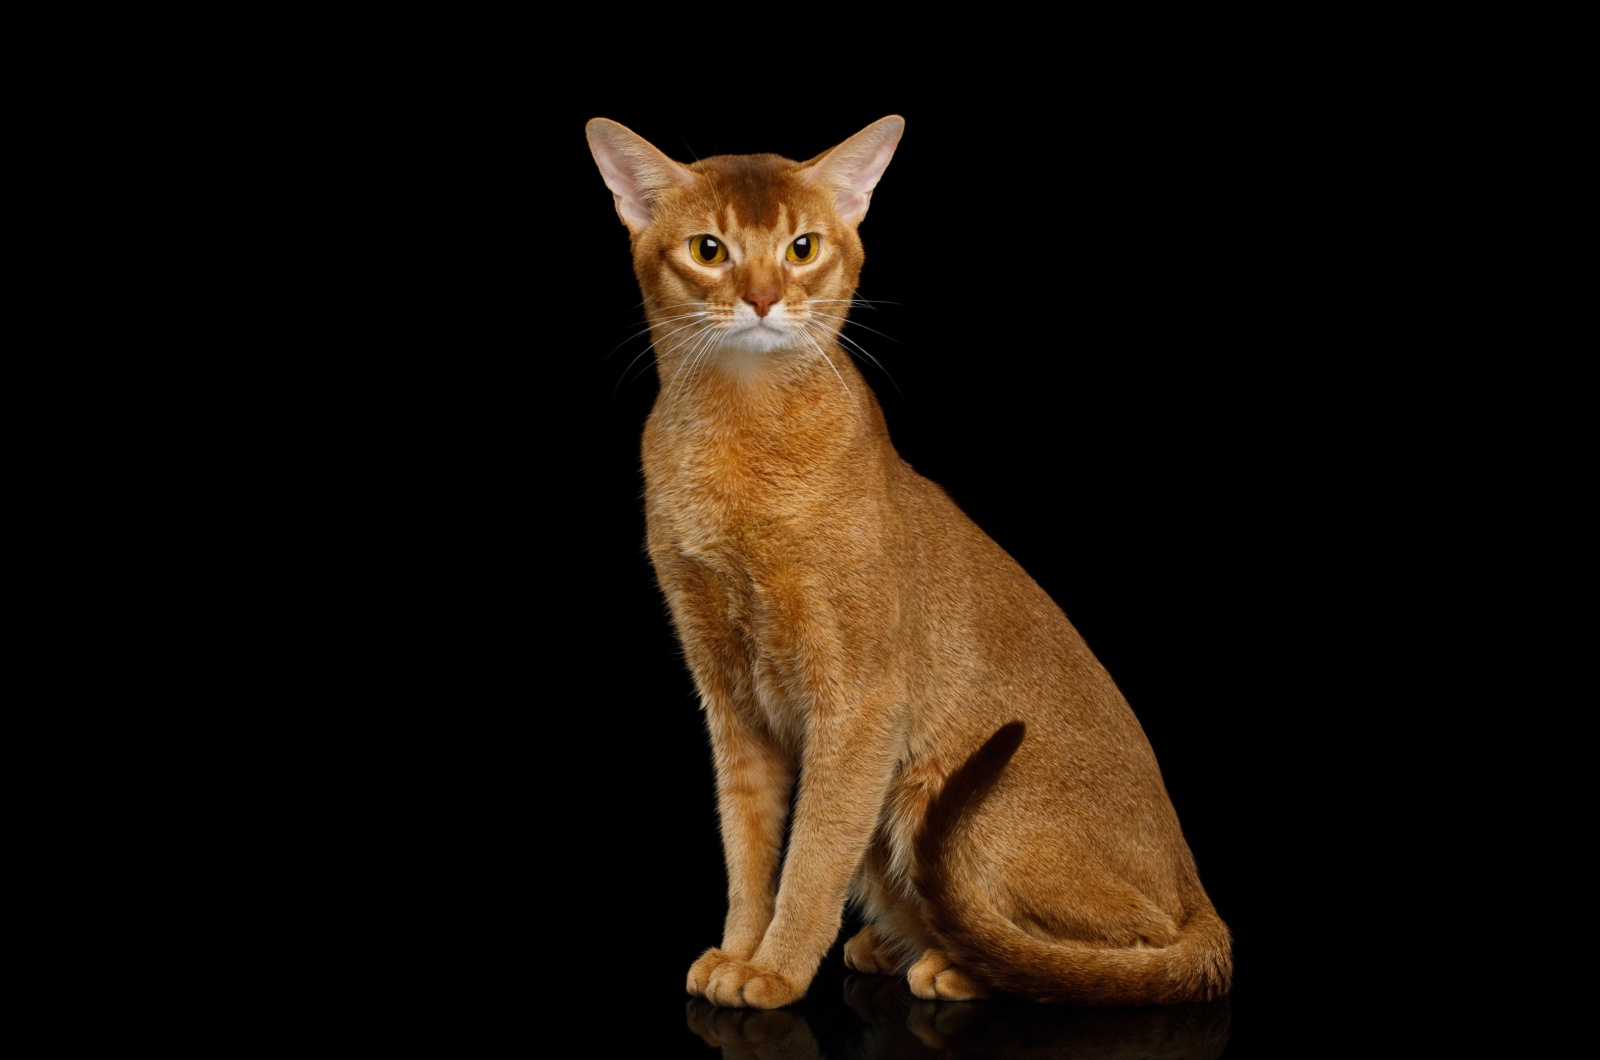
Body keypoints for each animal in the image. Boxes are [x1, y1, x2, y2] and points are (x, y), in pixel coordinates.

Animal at [582, 116, 1228, 1011]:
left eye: (803, 247)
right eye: (709, 250)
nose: (762, 299)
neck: (741, 442)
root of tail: (1197, 888)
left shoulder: (859, 702)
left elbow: (814, 853)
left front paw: (776, 970)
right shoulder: (729, 697)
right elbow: (748, 848)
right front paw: (739, 950)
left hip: (961, 805)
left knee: (1133, 942)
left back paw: (960, 965)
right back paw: (896, 947)